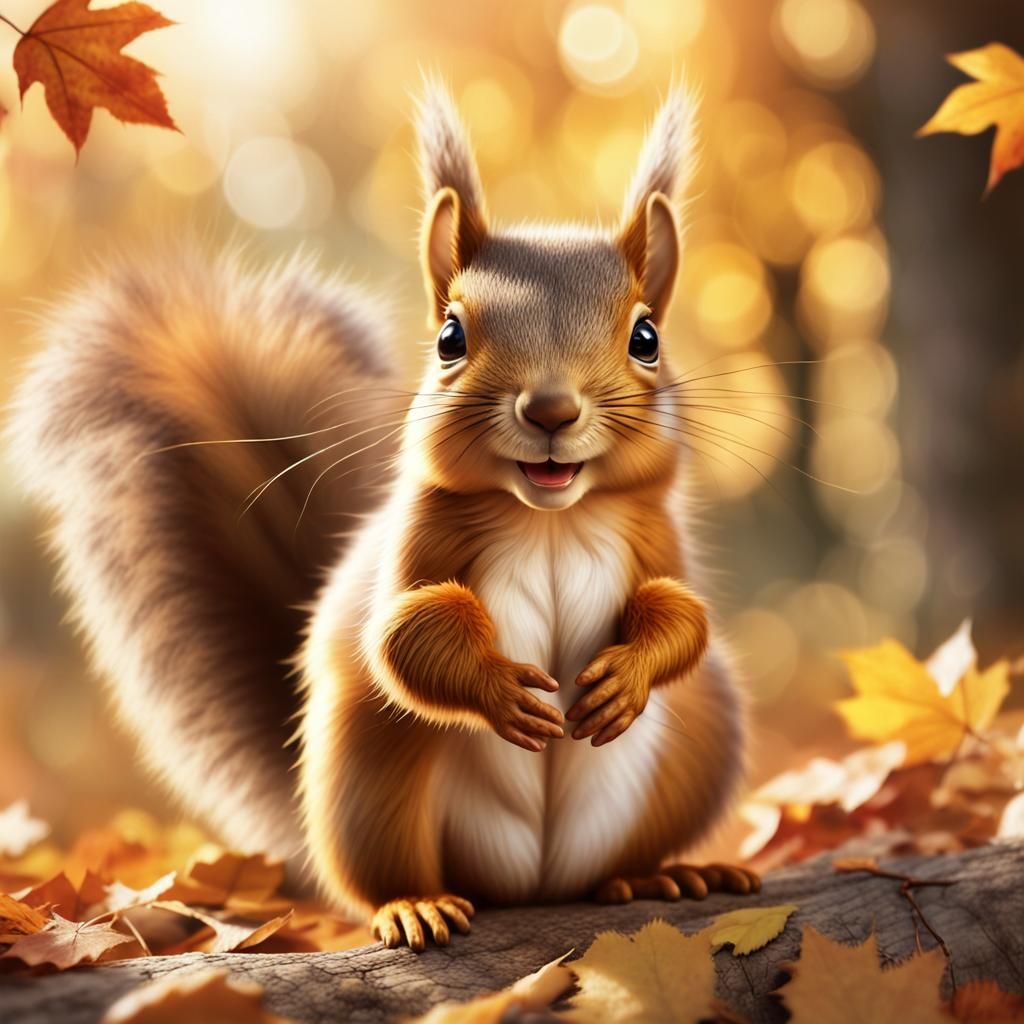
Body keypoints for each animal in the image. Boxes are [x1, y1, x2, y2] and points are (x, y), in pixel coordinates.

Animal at [9, 81, 755, 951]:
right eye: (449, 336)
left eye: (646, 336)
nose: (550, 410)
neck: (551, 519)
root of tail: (536, 884)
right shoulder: (414, 542)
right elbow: (399, 636)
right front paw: (500, 689)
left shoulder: (655, 537)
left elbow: (684, 615)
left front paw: (627, 673)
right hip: (368, 777)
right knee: (384, 866)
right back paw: (415, 905)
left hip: (699, 745)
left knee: (622, 858)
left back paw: (658, 875)